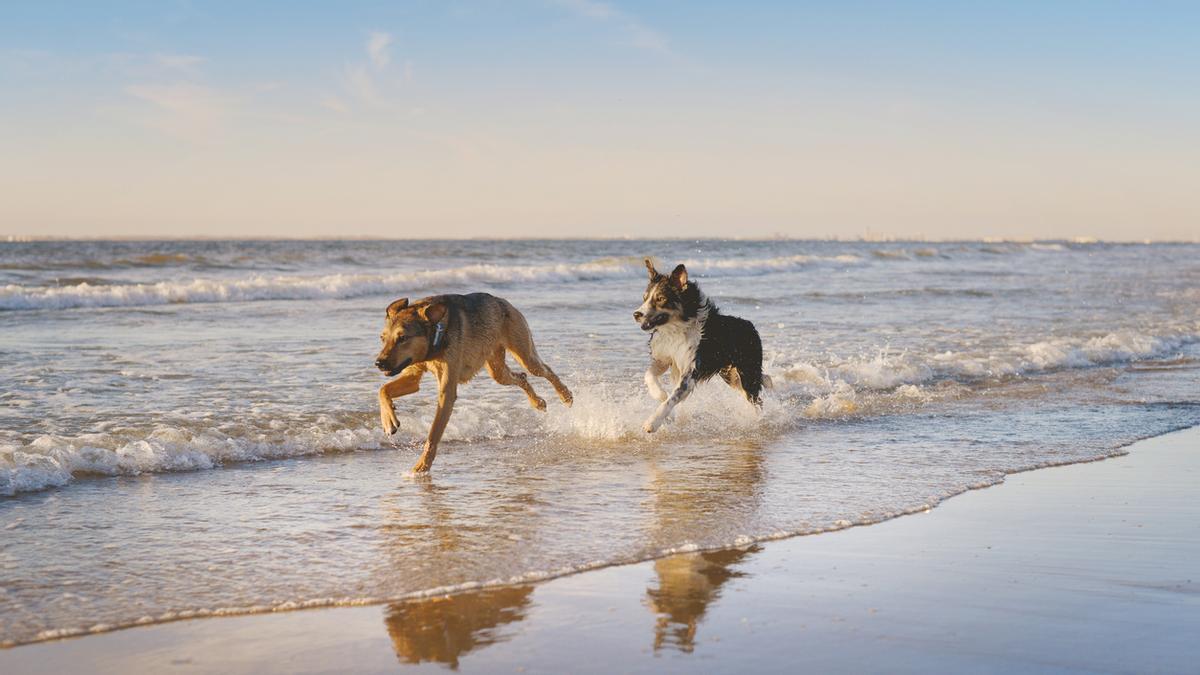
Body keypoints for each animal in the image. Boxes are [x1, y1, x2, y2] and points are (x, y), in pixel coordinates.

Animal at [372, 291, 573, 470]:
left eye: (403, 338)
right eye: (382, 338)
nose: (379, 363)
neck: (435, 338)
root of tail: (502, 301)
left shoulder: (447, 391)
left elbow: (433, 434)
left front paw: (421, 467)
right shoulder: (412, 373)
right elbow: (383, 390)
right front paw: (388, 421)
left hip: (525, 355)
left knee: (545, 370)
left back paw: (565, 395)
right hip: (497, 370)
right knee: (521, 378)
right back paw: (537, 402)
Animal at [633, 257, 763, 429]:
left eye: (660, 299)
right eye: (644, 298)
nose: (636, 314)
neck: (676, 328)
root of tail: (751, 326)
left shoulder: (690, 371)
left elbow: (672, 399)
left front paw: (652, 422)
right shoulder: (664, 359)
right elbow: (649, 376)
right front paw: (660, 394)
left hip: (747, 373)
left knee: (756, 400)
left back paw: (758, 420)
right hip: (730, 375)